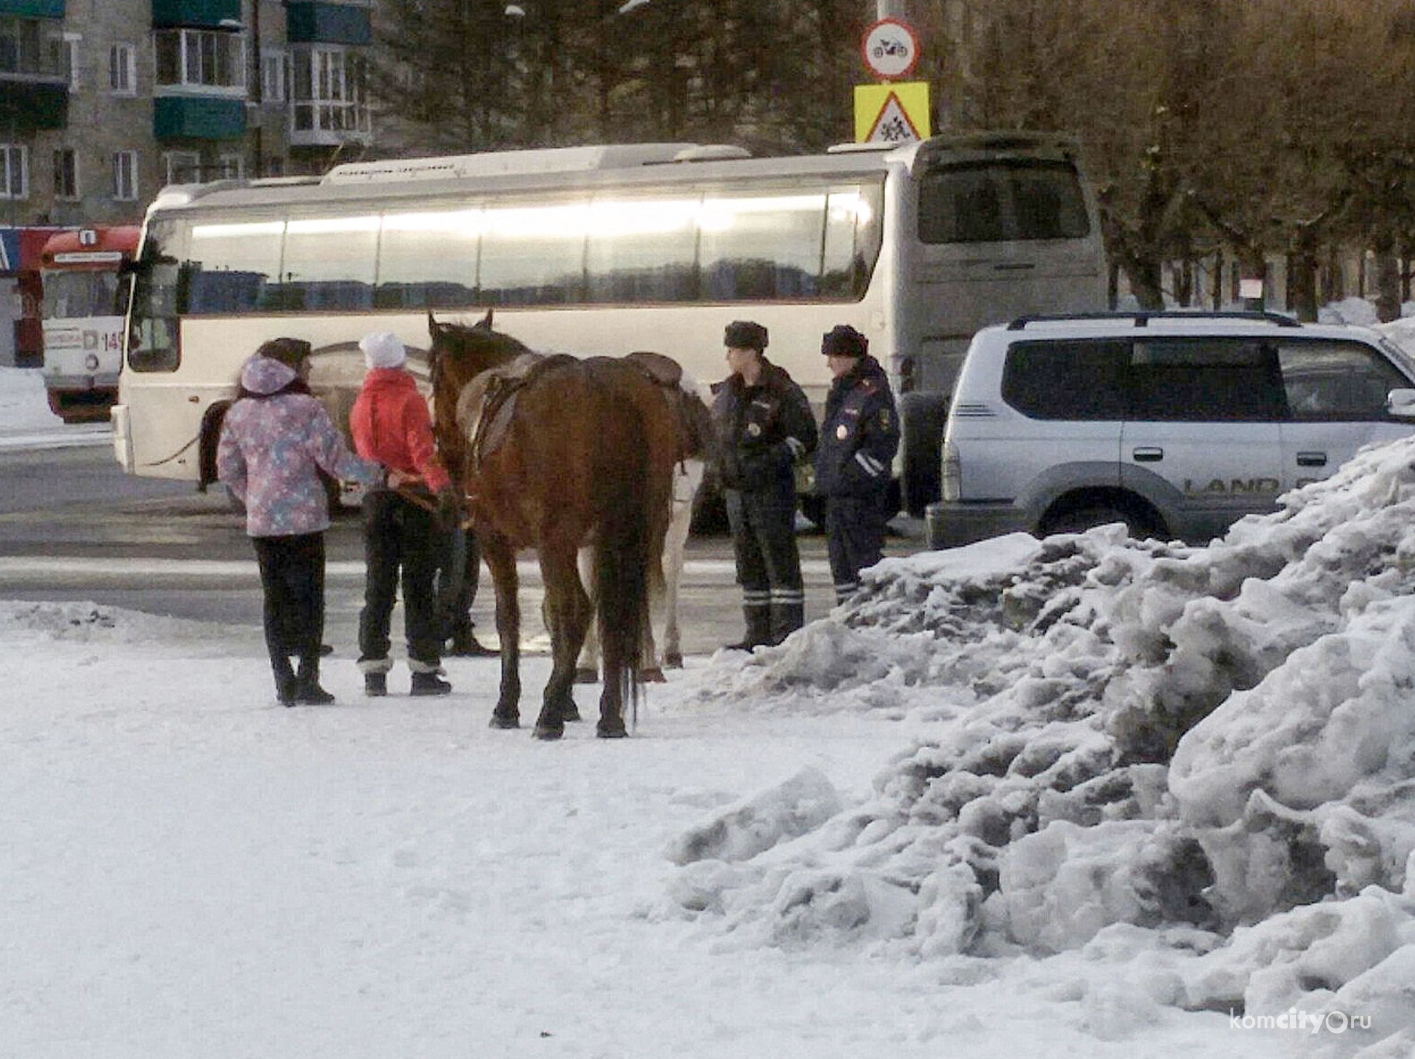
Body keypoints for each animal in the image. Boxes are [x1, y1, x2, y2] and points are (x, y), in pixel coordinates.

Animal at [424, 308, 679, 736]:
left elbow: (512, 617)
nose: (442, 447)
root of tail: (611, 393)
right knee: (610, 618)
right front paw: (568, 701)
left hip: (554, 540)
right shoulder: (581, 543)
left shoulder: (497, 539)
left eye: (433, 378)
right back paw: (609, 715)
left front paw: (512, 704)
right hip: (622, 536)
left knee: (576, 608)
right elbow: (555, 617)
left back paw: (548, 717)